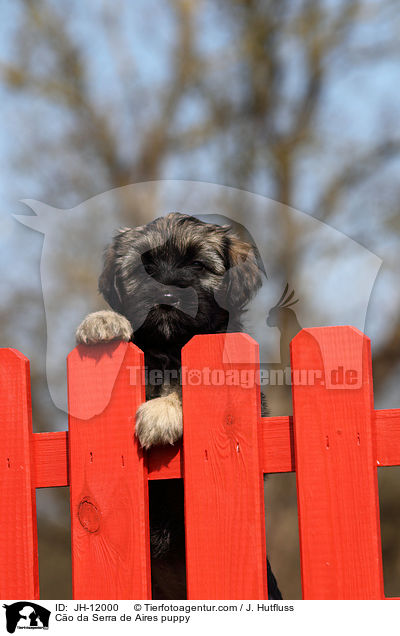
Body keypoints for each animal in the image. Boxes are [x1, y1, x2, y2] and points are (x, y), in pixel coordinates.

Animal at [75, 214, 282, 600]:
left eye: (198, 265)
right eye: (143, 268)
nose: (168, 295)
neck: (170, 347)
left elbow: (188, 385)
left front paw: (163, 411)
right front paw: (104, 321)